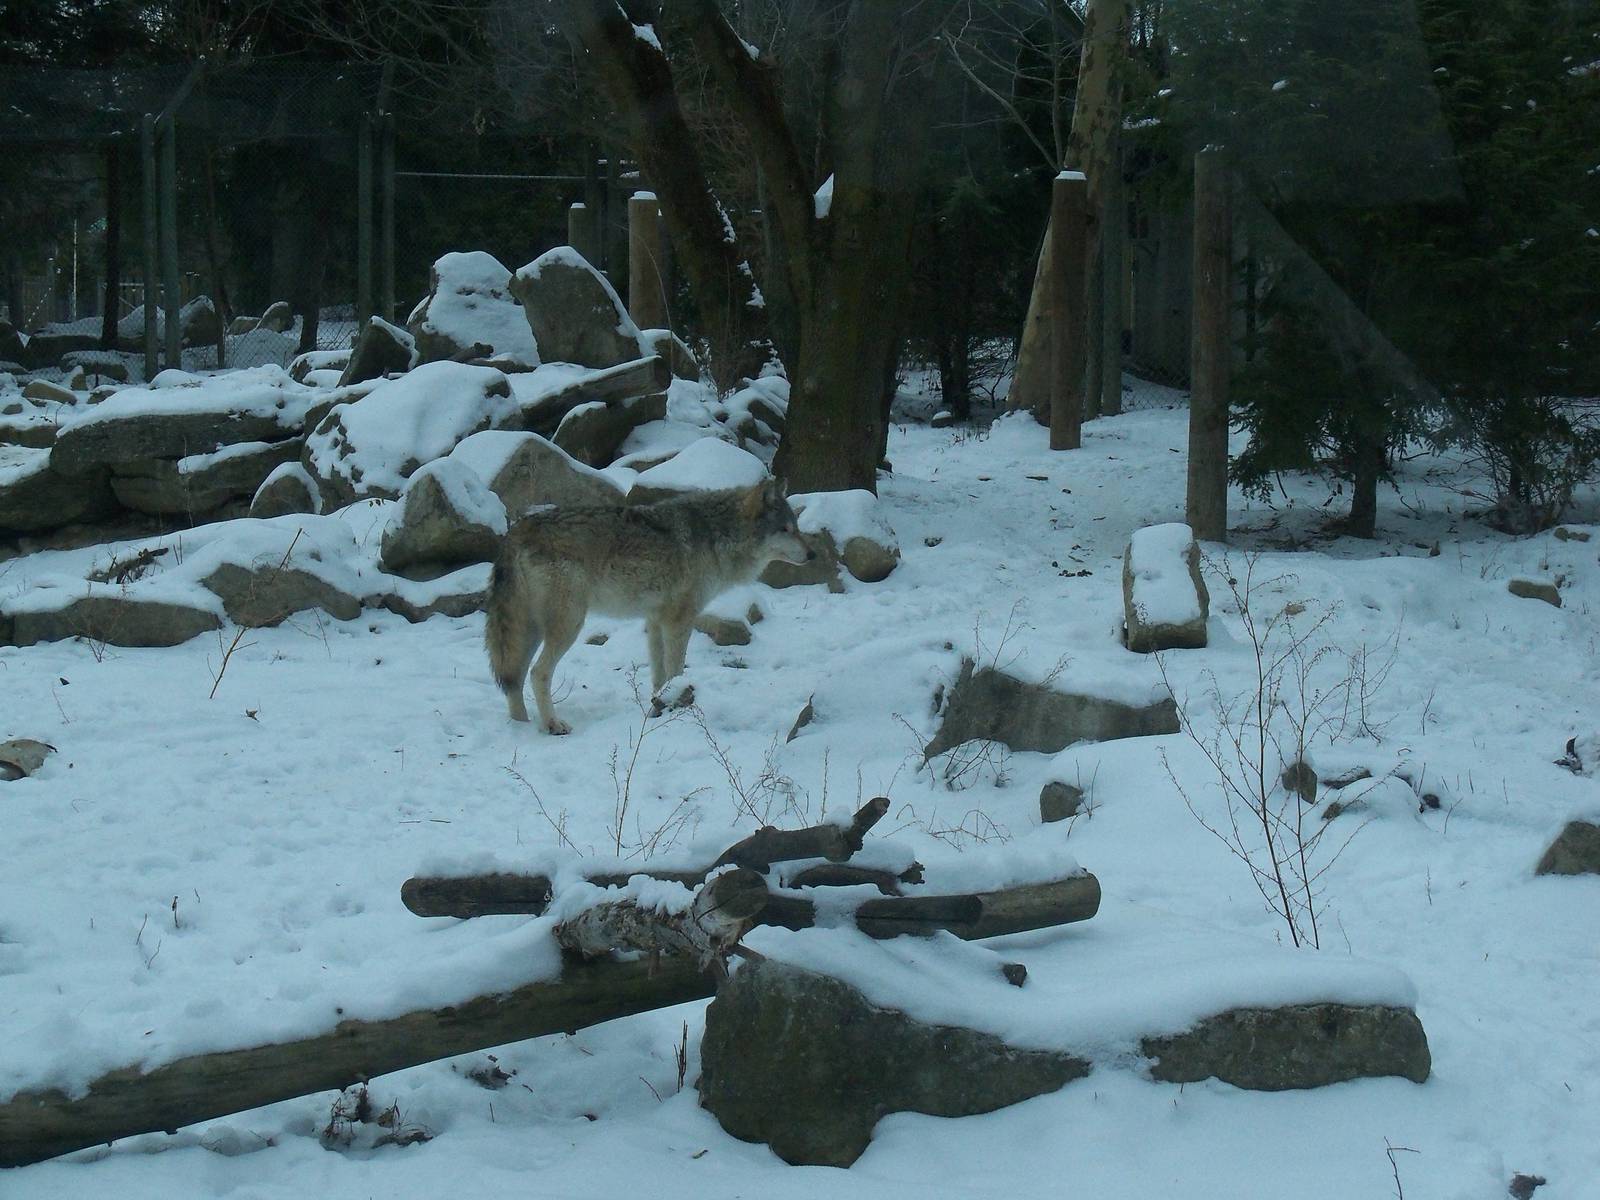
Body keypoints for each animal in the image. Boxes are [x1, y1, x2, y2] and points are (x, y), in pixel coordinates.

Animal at [485, 479, 811, 732]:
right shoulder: (679, 622)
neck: (716, 536)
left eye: (796, 528)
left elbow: (659, 677)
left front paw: (658, 709)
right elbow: (675, 670)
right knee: (537, 673)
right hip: (568, 626)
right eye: (785, 529)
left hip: (530, 631)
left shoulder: (655, 621)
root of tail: (517, 532)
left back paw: (521, 727)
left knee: (513, 679)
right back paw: (553, 724)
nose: (813, 554)